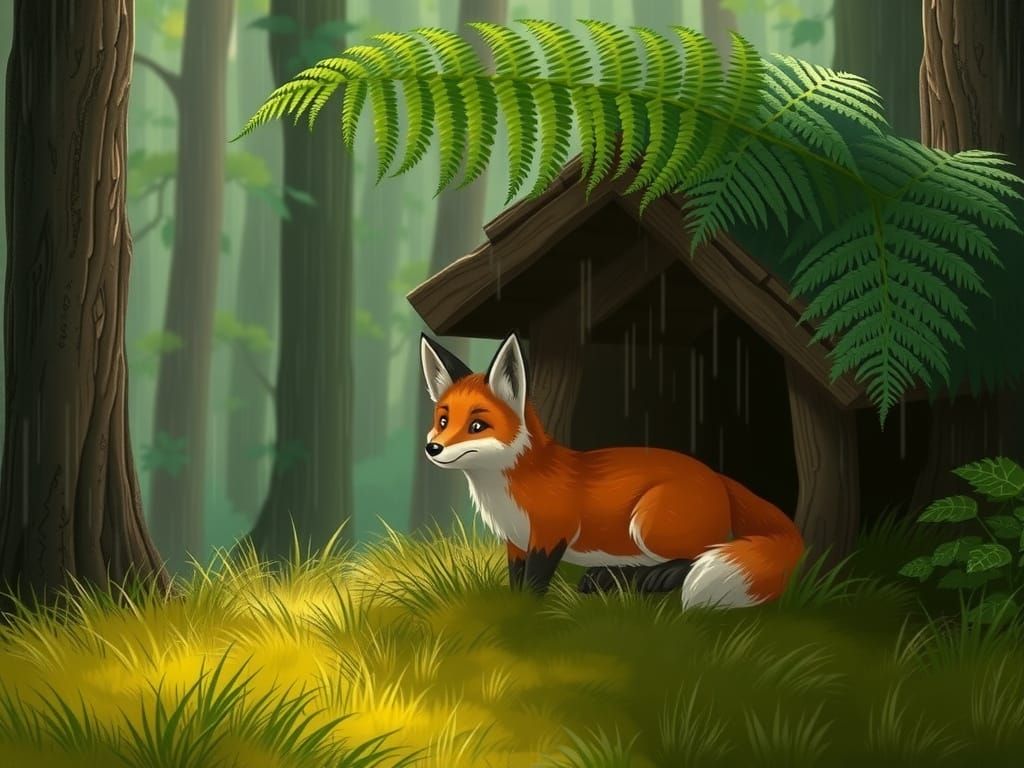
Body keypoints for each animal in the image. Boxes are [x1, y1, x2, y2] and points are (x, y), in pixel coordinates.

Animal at [419, 331, 805, 608]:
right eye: (443, 420)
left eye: (477, 426)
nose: (432, 448)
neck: (507, 489)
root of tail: (716, 475)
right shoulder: (515, 541)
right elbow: (515, 579)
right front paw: (510, 607)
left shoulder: (551, 534)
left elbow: (535, 582)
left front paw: (526, 615)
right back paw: (609, 577)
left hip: (648, 523)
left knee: (697, 555)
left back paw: (654, 578)